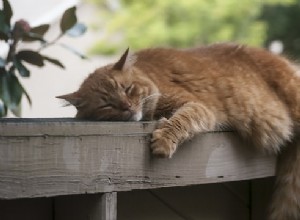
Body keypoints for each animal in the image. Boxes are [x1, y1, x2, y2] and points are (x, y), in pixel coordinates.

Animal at [58, 43, 300, 220]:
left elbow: (180, 122)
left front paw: (164, 141)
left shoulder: (196, 106)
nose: (127, 107)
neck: (149, 74)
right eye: (107, 105)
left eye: (127, 89)